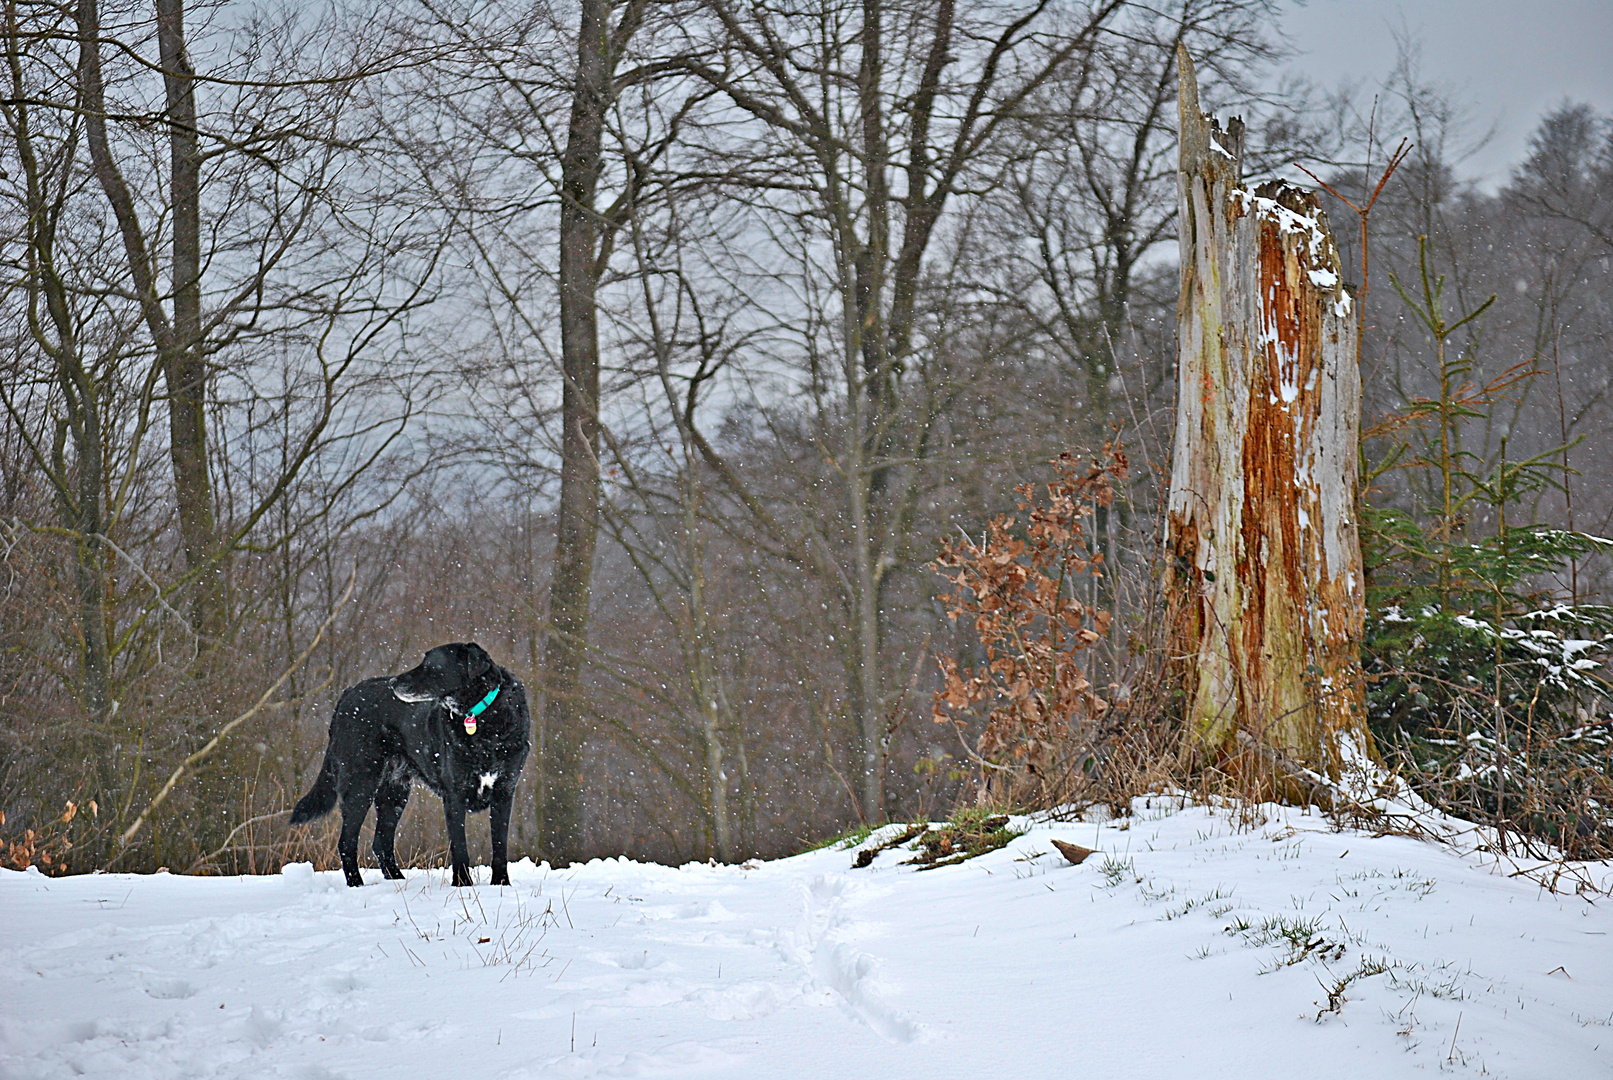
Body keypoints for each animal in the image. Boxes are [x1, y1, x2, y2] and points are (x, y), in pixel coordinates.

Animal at [290, 644, 529, 889]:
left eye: (430, 665)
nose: (394, 681)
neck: (480, 716)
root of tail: (347, 694)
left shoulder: (504, 790)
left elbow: (499, 845)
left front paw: (501, 884)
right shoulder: (454, 794)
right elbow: (460, 847)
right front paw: (463, 884)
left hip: (394, 792)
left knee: (380, 841)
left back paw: (396, 880)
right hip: (361, 784)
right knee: (347, 842)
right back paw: (357, 884)